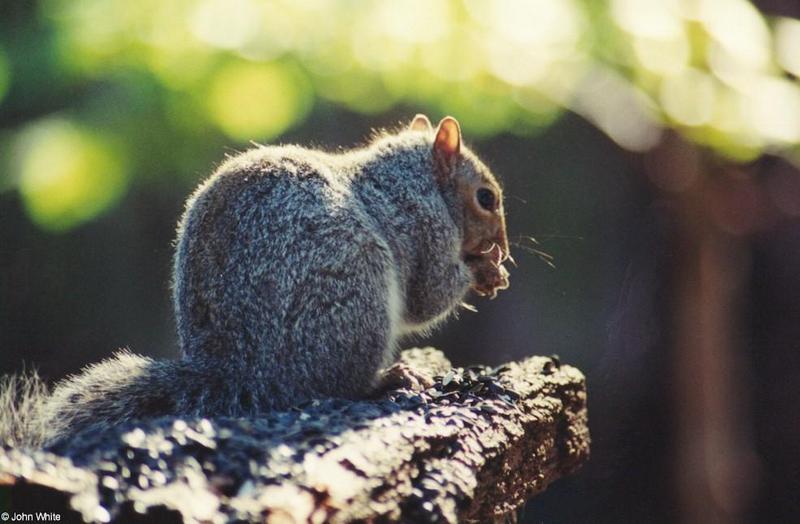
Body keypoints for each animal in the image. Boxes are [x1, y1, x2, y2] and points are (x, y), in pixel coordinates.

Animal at [0, 114, 512, 446]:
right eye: (486, 197)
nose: (504, 247)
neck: (409, 178)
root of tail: (241, 369)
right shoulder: (422, 224)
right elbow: (429, 295)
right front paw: (484, 270)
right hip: (351, 297)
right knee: (333, 385)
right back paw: (390, 378)